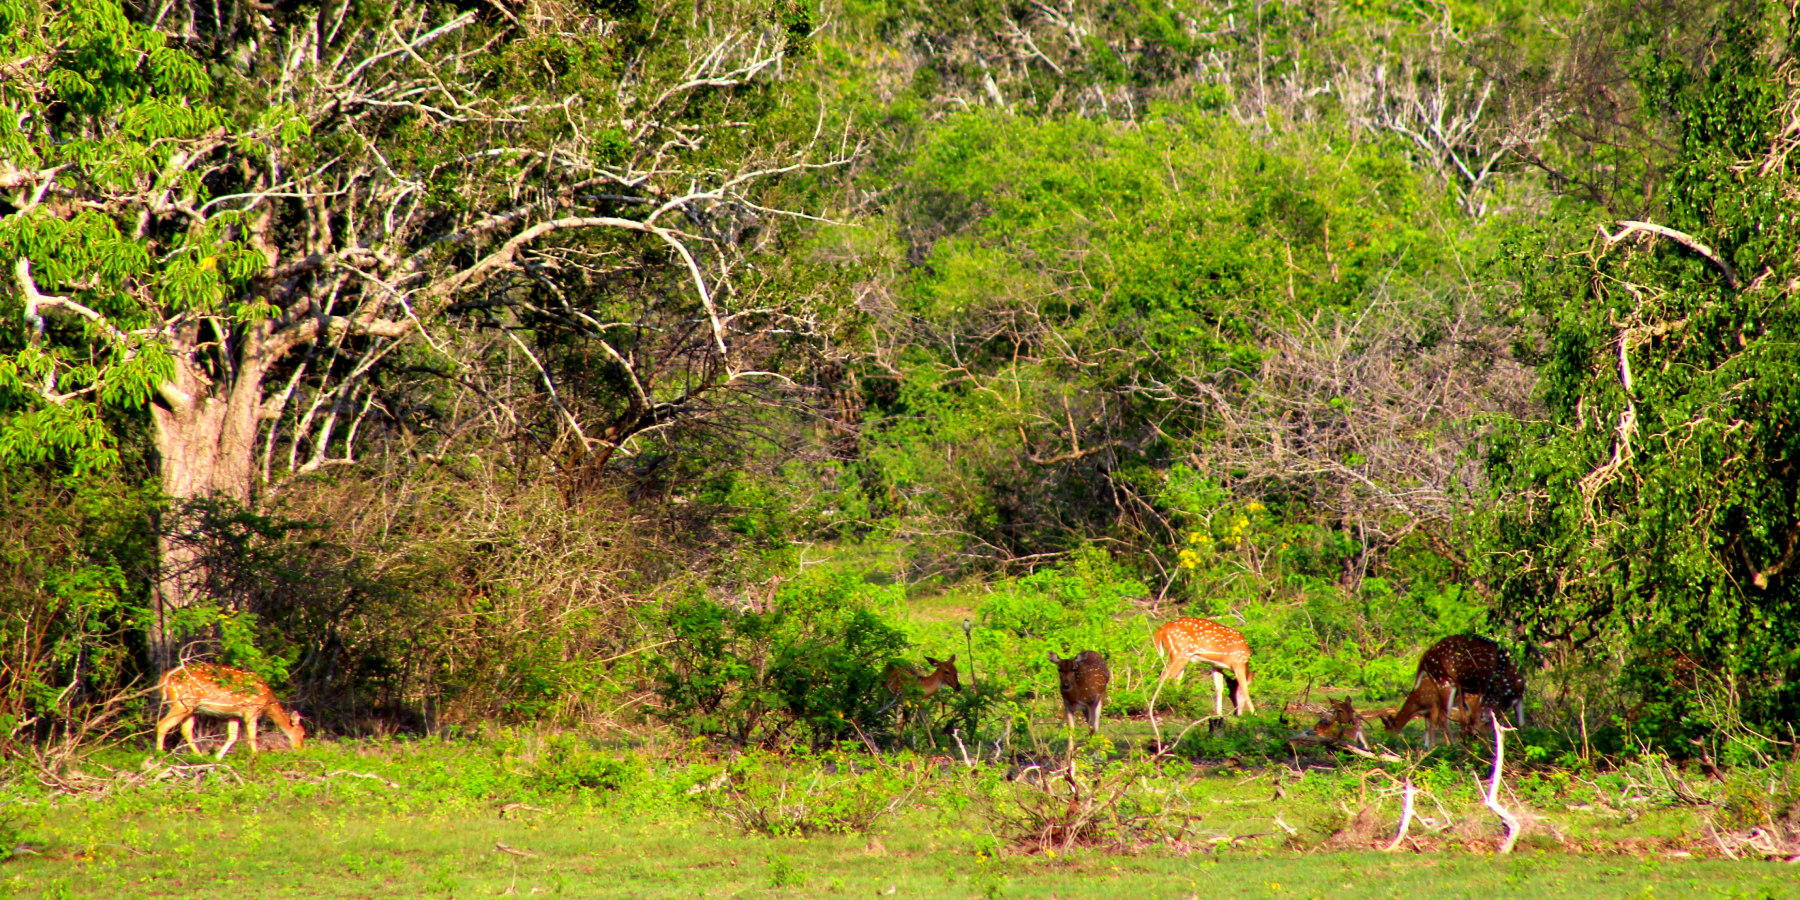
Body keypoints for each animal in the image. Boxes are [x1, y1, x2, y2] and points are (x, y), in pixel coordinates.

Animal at [158, 662, 309, 759]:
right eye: (302, 733)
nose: (301, 750)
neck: (267, 701)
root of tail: (163, 679)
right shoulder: (251, 709)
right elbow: (252, 735)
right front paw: (256, 756)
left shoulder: (233, 714)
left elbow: (233, 736)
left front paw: (218, 757)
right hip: (182, 702)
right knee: (163, 724)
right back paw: (158, 755)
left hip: (190, 707)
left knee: (186, 729)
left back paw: (200, 756)